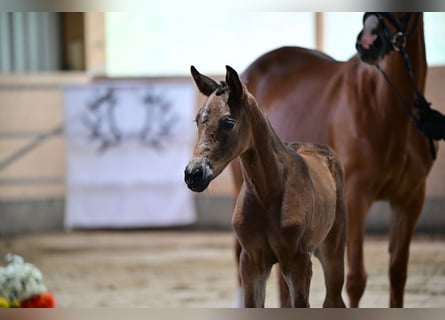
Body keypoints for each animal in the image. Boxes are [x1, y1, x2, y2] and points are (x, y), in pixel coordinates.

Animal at [184, 65, 346, 308]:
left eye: (229, 122)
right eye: (197, 120)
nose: (194, 174)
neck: (267, 194)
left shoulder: (298, 263)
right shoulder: (252, 262)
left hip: (332, 251)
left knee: (333, 299)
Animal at [231, 12, 438, 308]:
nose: (368, 43)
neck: (384, 107)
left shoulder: (410, 199)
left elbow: (398, 273)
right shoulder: (355, 198)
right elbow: (355, 280)